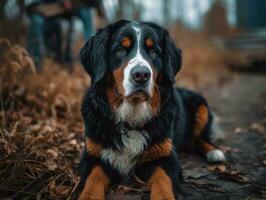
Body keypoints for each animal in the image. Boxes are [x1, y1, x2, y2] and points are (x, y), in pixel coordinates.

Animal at [78, 20, 225, 200]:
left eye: (154, 52)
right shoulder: (93, 154)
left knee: (202, 139)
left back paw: (215, 153)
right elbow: (92, 179)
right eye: (120, 50)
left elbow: (163, 180)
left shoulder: (165, 155)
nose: (141, 74)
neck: (131, 118)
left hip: (201, 105)